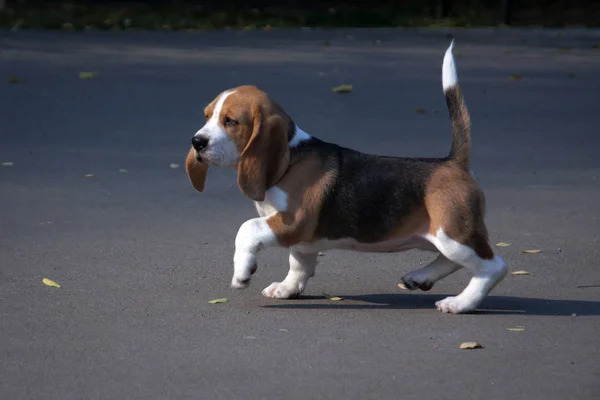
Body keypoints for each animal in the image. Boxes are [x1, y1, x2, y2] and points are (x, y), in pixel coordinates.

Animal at [184, 41, 506, 316]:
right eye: (207, 115)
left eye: (230, 121)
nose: (197, 142)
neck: (291, 158)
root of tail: (454, 162)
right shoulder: (303, 236)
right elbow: (299, 264)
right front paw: (287, 288)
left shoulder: (294, 221)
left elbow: (247, 229)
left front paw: (242, 272)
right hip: (437, 235)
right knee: (454, 260)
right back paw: (420, 277)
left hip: (452, 233)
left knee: (494, 267)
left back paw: (460, 303)